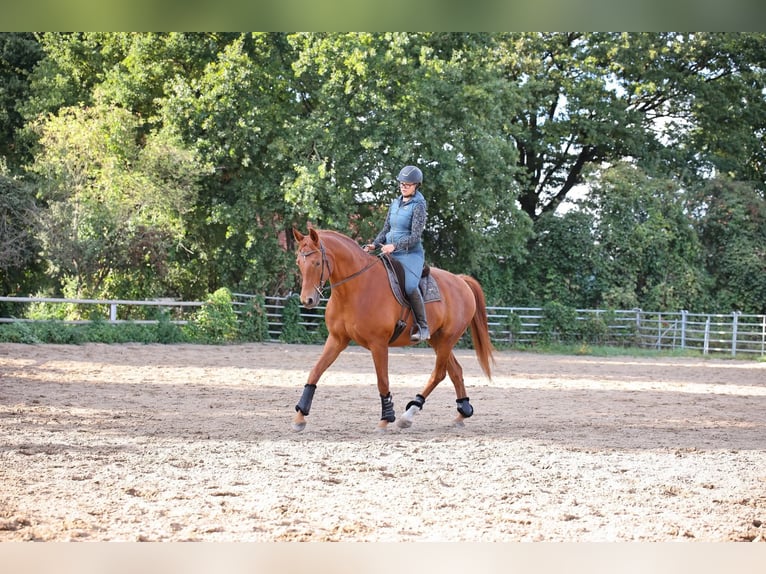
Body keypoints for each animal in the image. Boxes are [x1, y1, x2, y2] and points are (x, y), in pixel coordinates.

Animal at [291, 227, 494, 432]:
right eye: (298, 263)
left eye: (317, 262)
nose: (307, 300)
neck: (357, 288)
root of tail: (460, 281)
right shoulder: (337, 339)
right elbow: (315, 372)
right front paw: (300, 417)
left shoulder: (378, 344)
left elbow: (382, 380)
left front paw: (386, 418)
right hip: (437, 340)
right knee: (455, 372)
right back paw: (462, 413)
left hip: (446, 340)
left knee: (439, 374)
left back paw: (409, 414)